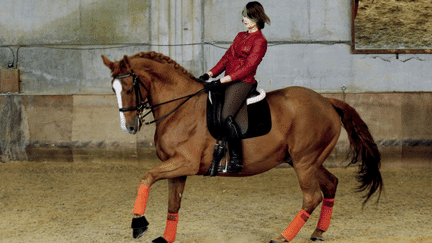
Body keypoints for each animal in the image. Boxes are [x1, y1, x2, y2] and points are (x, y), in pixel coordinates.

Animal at [100, 51, 382, 243]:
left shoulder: (184, 162)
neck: (180, 107)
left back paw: (283, 237)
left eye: (129, 87)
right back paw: (318, 232)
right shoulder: (177, 169)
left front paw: (138, 224)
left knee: (312, 196)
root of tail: (327, 101)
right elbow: (173, 204)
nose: (130, 127)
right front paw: (166, 237)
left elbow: (146, 177)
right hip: (307, 161)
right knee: (331, 184)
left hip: (304, 162)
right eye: (113, 89)